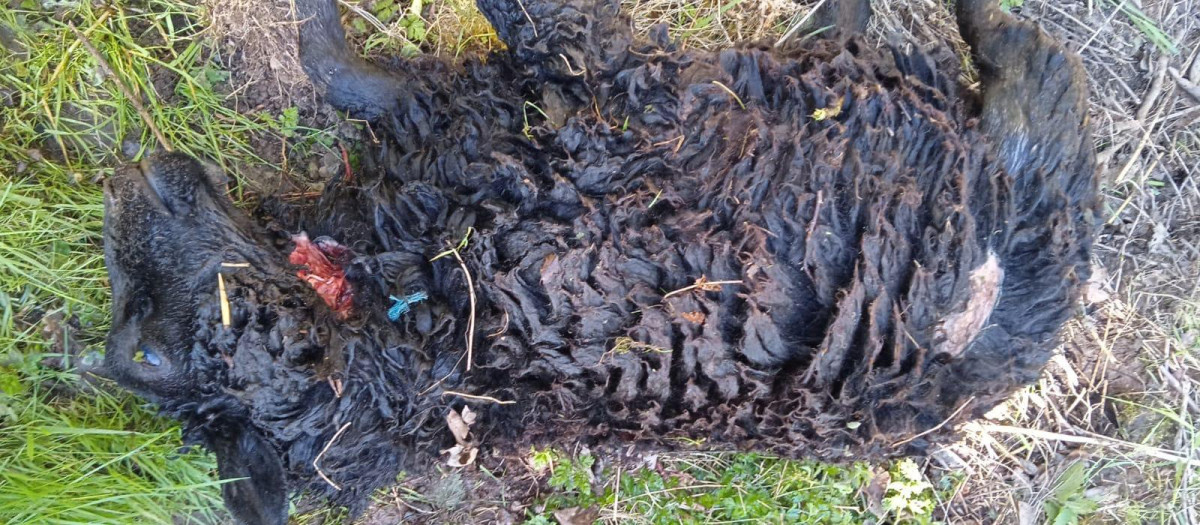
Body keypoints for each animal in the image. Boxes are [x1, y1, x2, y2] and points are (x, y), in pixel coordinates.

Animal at [98, 0, 1096, 523]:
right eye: (144, 350)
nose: (117, 179)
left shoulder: (467, 109)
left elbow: (341, 66)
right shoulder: (612, 110)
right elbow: (547, 25)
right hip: (1005, 207)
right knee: (1038, 88)